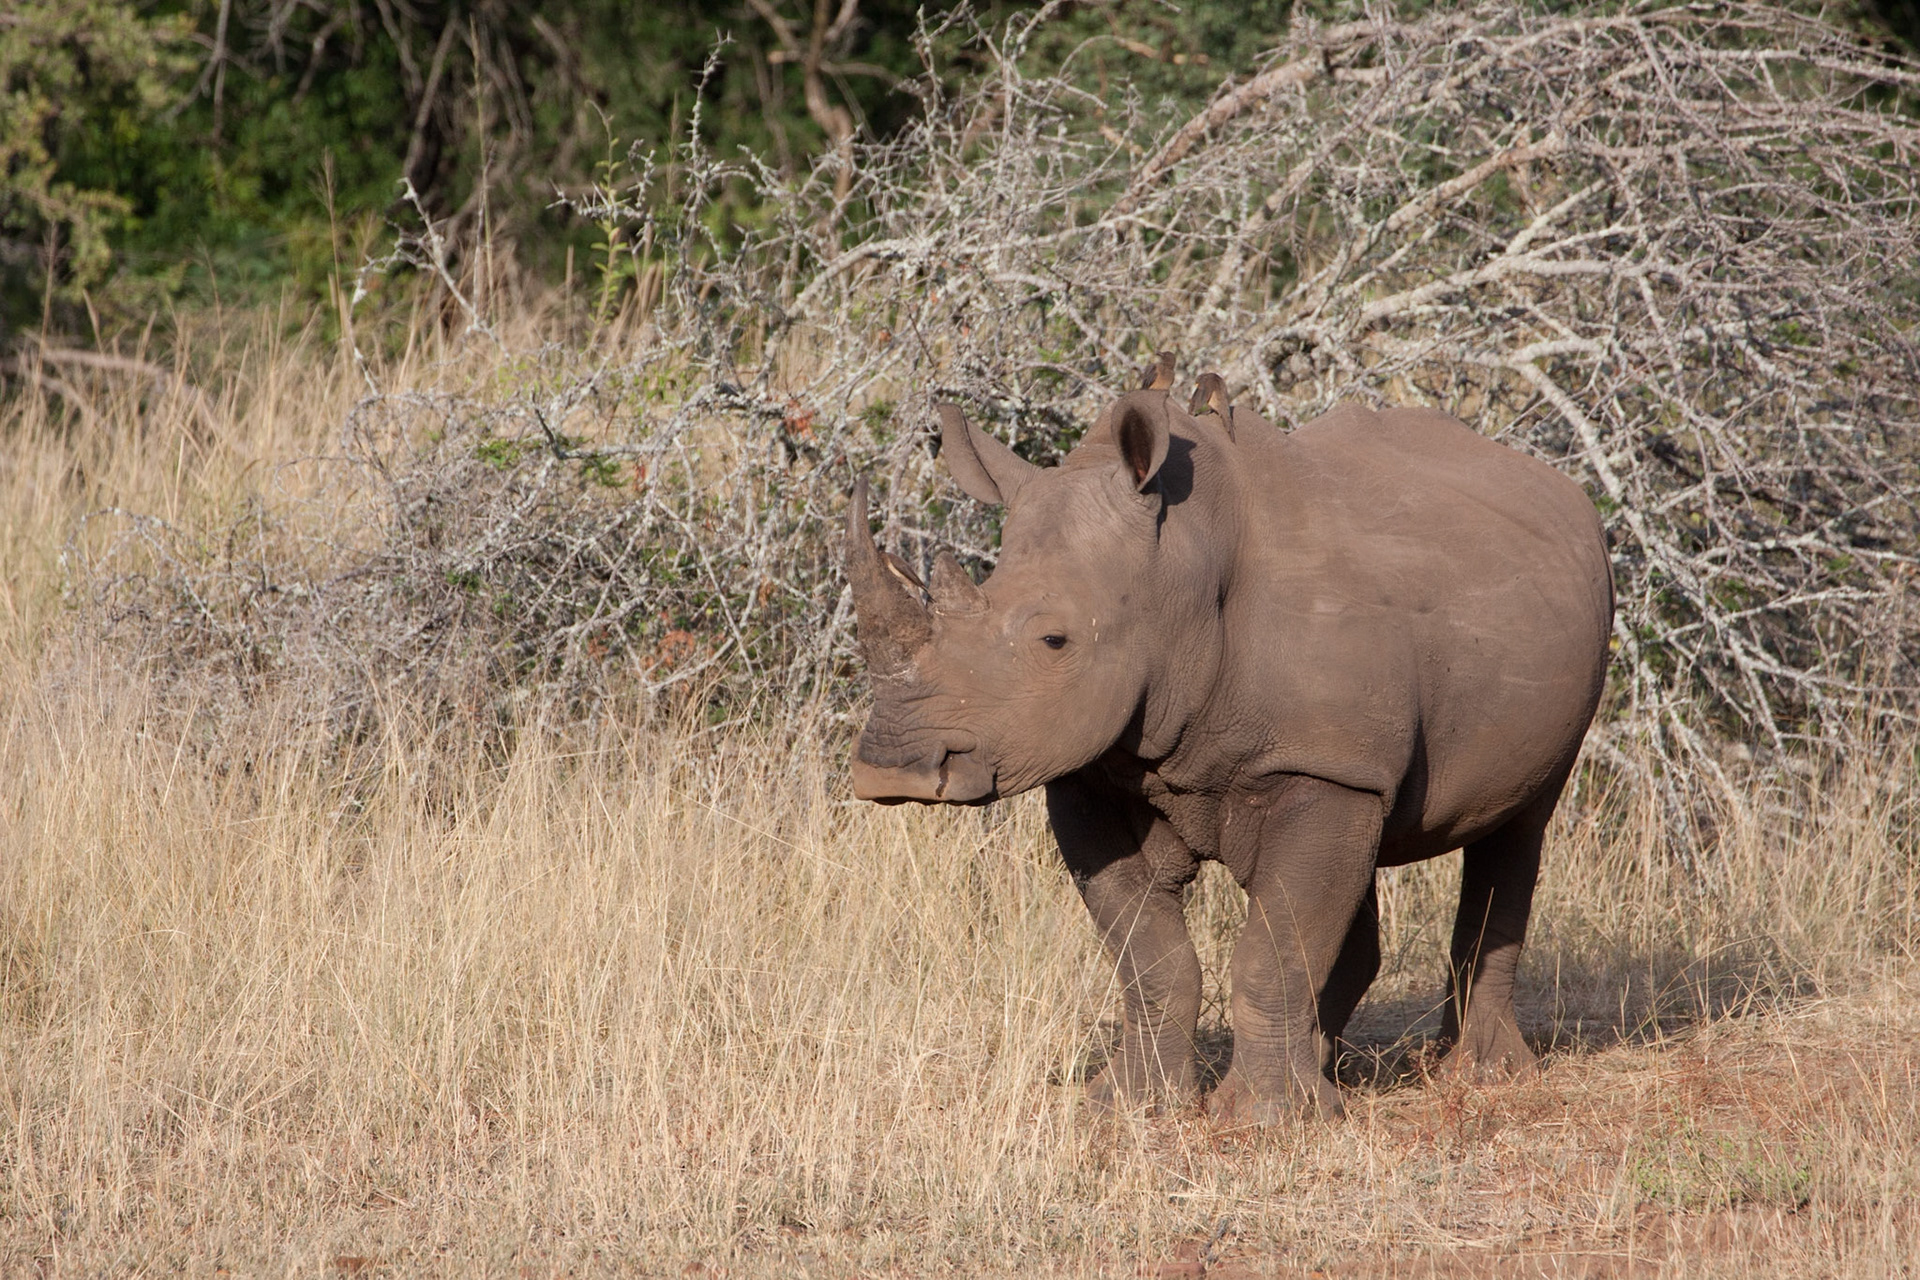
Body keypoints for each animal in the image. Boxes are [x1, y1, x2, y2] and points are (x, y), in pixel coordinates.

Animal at [845, 363, 1612, 1122]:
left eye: (1054, 640)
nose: (894, 771)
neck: (1178, 570)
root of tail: (1563, 490)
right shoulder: (1096, 766)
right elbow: (1153, 957)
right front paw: (1128, 1106)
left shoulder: (1318, 767)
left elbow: (1271, 951)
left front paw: (1264, 1121)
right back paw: (1328, 1071)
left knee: (1519, 824)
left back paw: (1481, 1075)